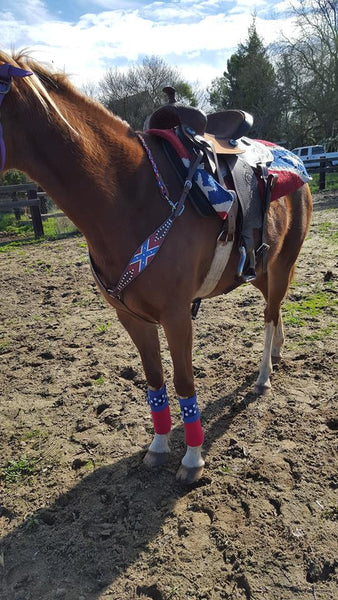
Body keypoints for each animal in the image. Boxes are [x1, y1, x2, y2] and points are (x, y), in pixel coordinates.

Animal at [0, 51, 312, 482]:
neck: (128, 195)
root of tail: (291, 158)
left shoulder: (177, 315)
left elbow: (183, 381)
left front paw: (192, 458)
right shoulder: (132, 317)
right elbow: (154, 379)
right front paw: (159, 445)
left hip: (283, 262)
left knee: (269, 314)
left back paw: (264, 376)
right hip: (259, 268)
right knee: (275, 307)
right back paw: (278, 353)